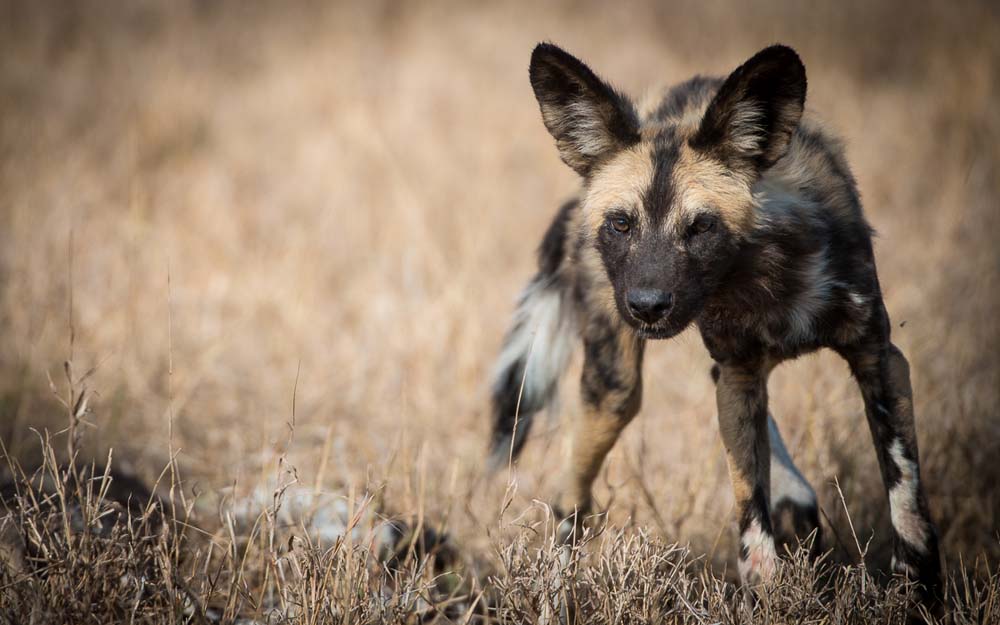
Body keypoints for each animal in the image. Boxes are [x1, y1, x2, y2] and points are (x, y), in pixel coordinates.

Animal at [488, 44, 940, 600]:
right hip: (613, 393)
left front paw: (918, 592)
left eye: (701, 226)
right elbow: (751, 512)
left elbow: (906, 498)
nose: (647, 305)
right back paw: (555, 592)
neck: (764, 279)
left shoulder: (877, 358)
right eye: (621, 223)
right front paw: (767, 595)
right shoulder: (740, 376)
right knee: (571, 497)